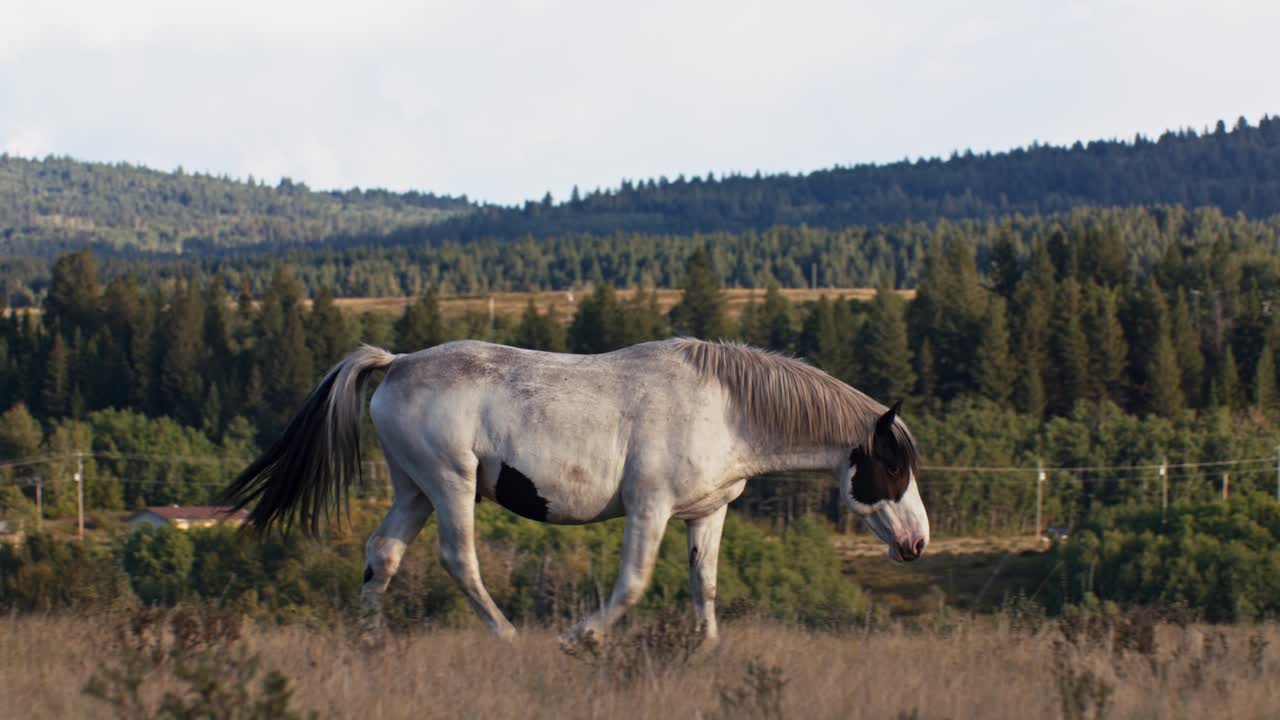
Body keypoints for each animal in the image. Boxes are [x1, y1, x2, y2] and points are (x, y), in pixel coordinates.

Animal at [222, 335, 931, 638]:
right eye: (894, 468)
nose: (918, 542)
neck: (725, 406)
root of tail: (396, 364)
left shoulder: (705, 516)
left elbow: (704, 590)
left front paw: (704, 652)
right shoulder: (649, 509)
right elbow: (634, 585)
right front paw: (580, 637)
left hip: (413, 490)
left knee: (382, 554)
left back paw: (369, 642)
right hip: (450, 485)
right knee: (459, 560)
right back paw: (507, 636)